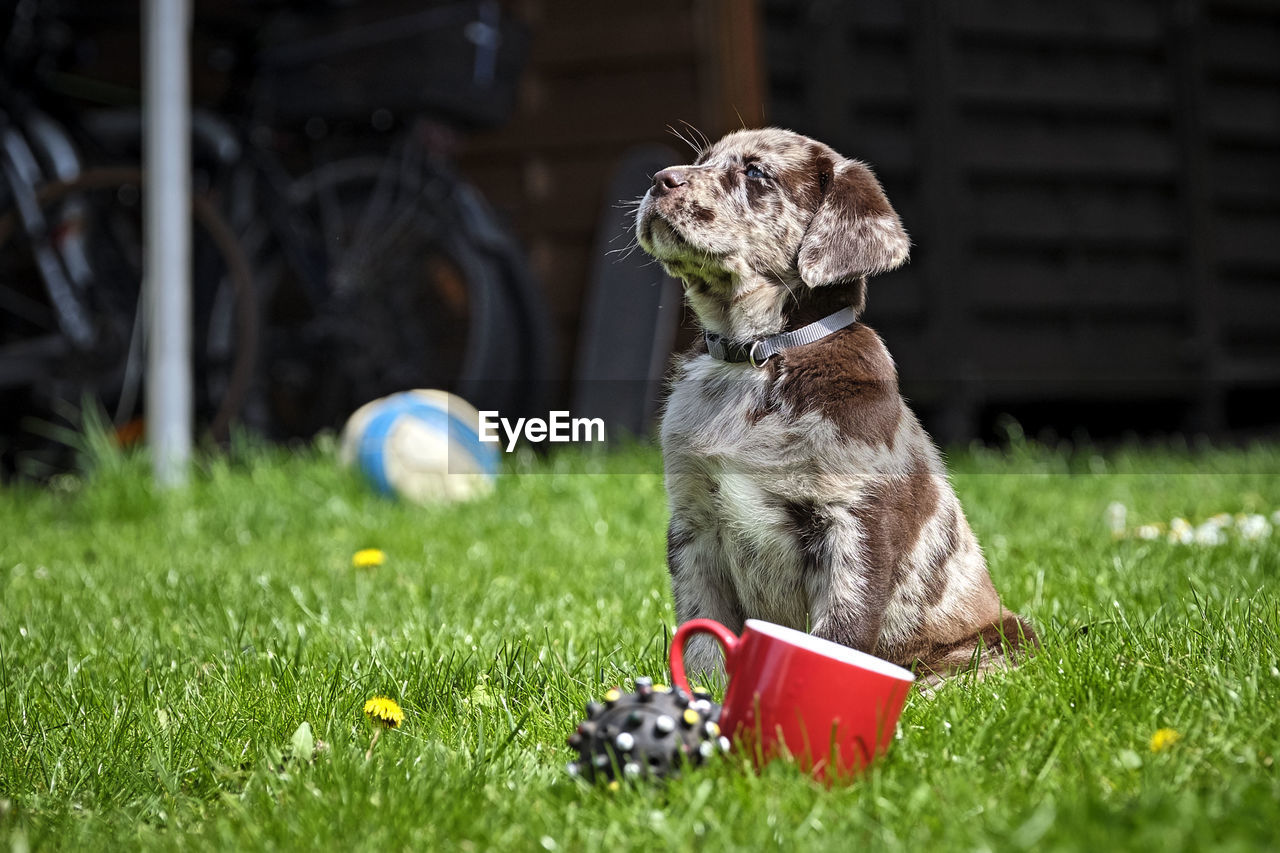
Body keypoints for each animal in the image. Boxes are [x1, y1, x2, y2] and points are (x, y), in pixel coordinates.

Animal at [634, 128, 1034, 686]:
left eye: (756, 173)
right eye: (702, 160)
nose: (659, 179)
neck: (757, 359)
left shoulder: (853, 524)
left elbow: (838, 635)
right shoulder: (694, 525)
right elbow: (702, 640)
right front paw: (705, 696)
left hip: (998, 642)